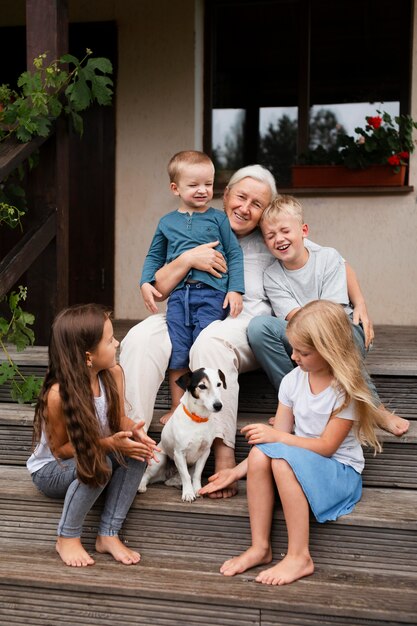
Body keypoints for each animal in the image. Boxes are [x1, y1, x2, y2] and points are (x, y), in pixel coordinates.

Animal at [138, 368, 226, 500]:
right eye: (202, 386)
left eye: (219, 384)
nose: (218, 405)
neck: (198, 419)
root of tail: (167, 475)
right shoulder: (179, 453)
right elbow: (186, 476)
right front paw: (188, 493)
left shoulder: (205, 452)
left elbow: (196, 475)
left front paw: (197, 490)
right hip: (159, 461)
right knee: (146, 475)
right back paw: (142, 486)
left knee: (173, 480)